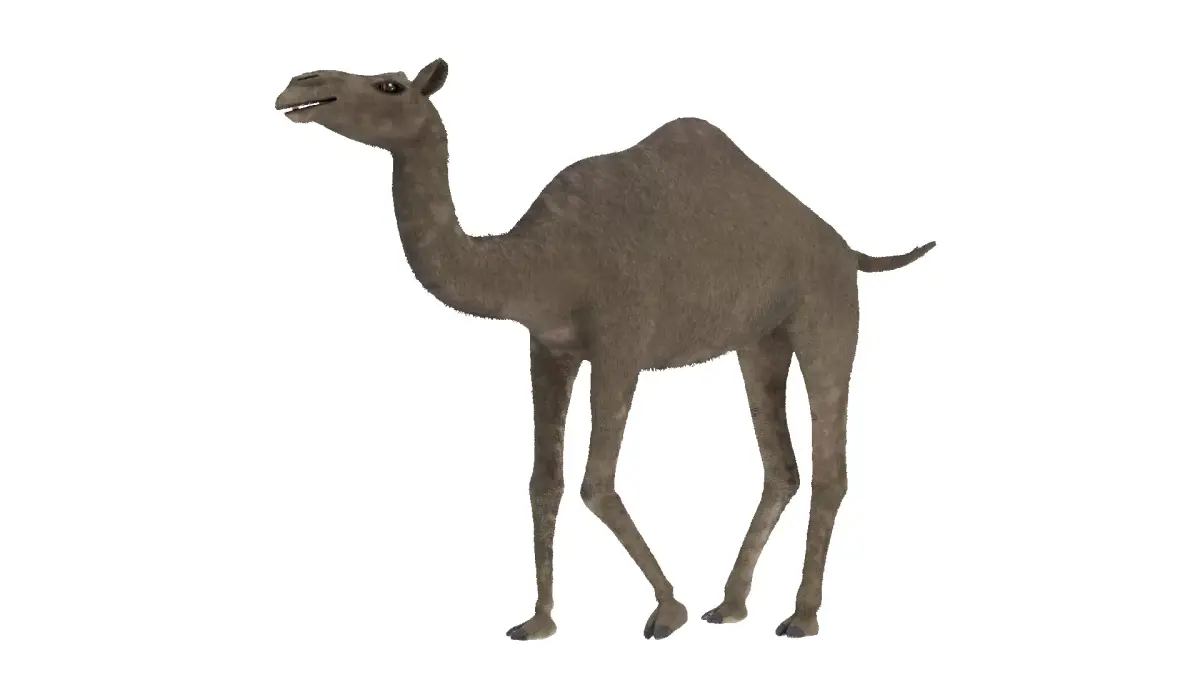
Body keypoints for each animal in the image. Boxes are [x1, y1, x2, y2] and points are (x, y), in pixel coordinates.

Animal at [273, 58, 935, 641]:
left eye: (391, 85)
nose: (298, 85)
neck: (541, 261)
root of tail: (849, 248)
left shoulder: (621, 345)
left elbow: (597, 482)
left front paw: (667, 610)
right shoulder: (549, 349)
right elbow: (544, 480)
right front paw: (539, 621)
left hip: (826, 310)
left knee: (830, 465)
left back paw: (801, 617)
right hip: (758, 340)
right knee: (782, 467)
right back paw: (731, 604)